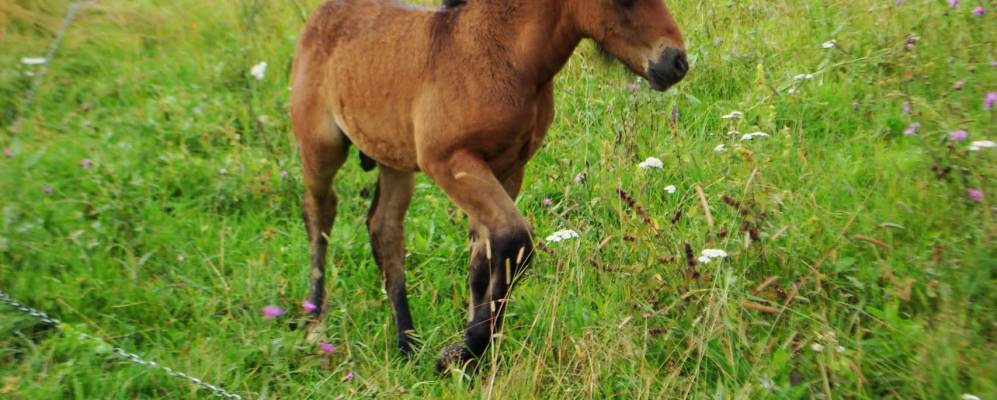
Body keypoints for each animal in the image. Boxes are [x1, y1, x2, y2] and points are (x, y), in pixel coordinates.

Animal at [288, 0, 684, 370]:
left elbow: (488, 256)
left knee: (384, 229)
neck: (504, 55)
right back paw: (314, 323)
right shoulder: (451, 163)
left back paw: (407, 344)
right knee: (320, 213)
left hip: (392, 159)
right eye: (623, 0)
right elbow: (516, 239)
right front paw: (463, 351)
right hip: (320, 146)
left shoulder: (509, 169)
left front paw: (470, 354)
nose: (677, 62)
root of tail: (321, 15)